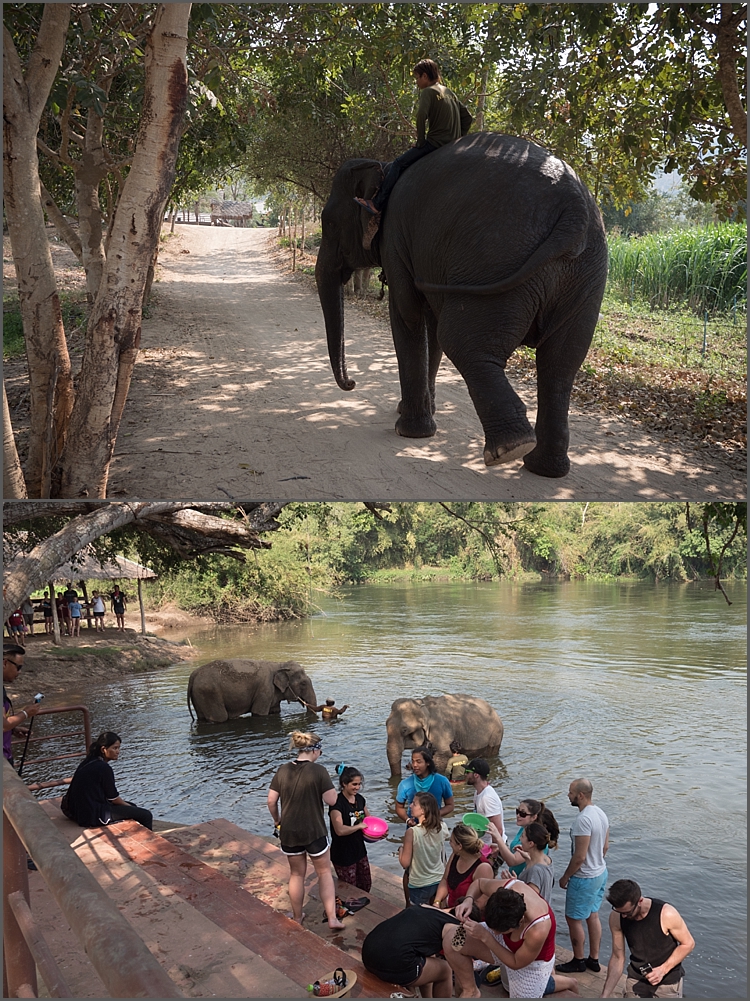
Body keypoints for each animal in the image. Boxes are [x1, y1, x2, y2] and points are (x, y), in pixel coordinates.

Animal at [187, 659, 317, 723]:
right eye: (303, 683)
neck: (279, 665)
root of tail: (193, 674)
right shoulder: (265, 690)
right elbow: (258, 713)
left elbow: (275, 711)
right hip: (209, 694)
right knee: (220, 718)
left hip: (199, 695)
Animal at [315, 132, 608, 477]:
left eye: (327, 222)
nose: (351, 383)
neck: (384, 168)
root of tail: (574, 210)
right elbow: (430, 327)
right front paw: (419, 411)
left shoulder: (395, 241)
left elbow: (408, 316)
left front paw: (410, 430)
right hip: (584, 276)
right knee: (561, 364)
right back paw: (544, 468)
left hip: (495, 258)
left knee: (462, 341)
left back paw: (510, 448)